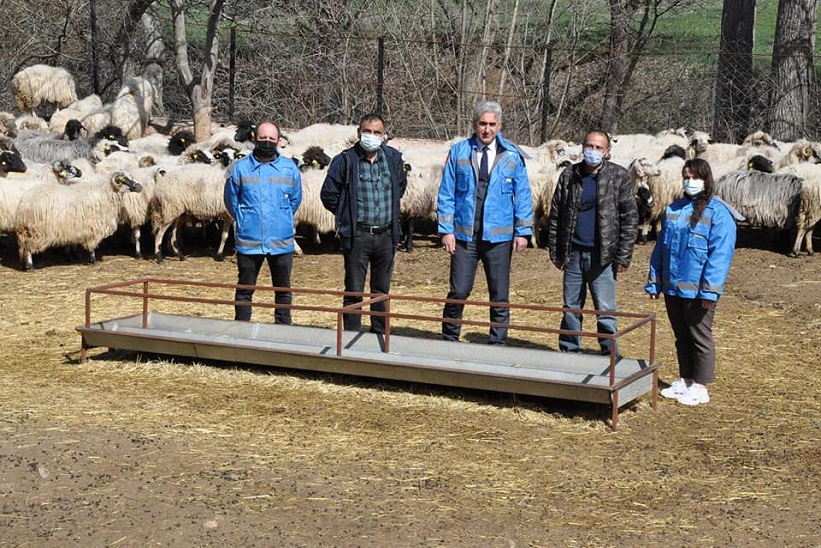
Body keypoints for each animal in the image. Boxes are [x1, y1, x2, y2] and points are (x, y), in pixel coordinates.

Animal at [14, 169, 142, 268]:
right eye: (125, 180)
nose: (140, 187)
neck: (106, 193)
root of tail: (25, 202)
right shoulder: (93, 227)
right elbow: (91, 245)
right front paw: (92, 260)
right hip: (34, 231)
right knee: (28, 248)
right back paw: (30, 266)